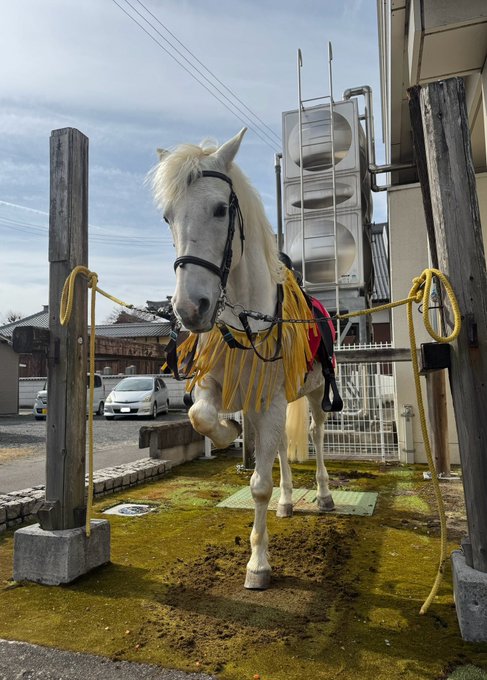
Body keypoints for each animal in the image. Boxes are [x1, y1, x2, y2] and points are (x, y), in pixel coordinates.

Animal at [150, 128, 338, 589]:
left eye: (221, 209)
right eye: (168, 217)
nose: (190, 309)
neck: (245, 320)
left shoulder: (269, 401)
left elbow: (259, 486)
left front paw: (258, 564)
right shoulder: (219, 388)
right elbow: (201, 417)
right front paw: (226, 431)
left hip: (313, 394)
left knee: (316, 435)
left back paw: (324, 495)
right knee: (283, 448)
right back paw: (288, 501)